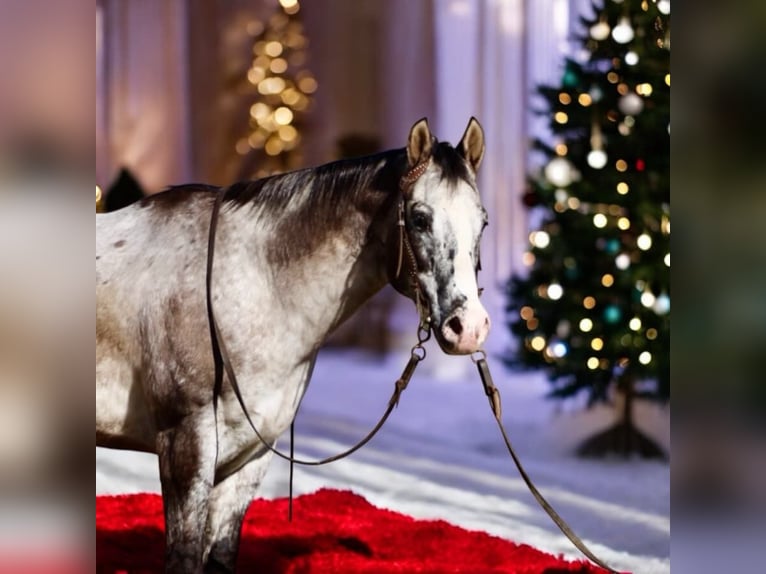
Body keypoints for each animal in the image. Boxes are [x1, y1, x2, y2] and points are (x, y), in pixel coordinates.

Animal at [96, 117, 492, 572]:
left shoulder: (249, 455)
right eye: (420, 218)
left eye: (483, 222)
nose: (469, 328)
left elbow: (221, 554)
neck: (247, 285)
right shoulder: (185, 446)